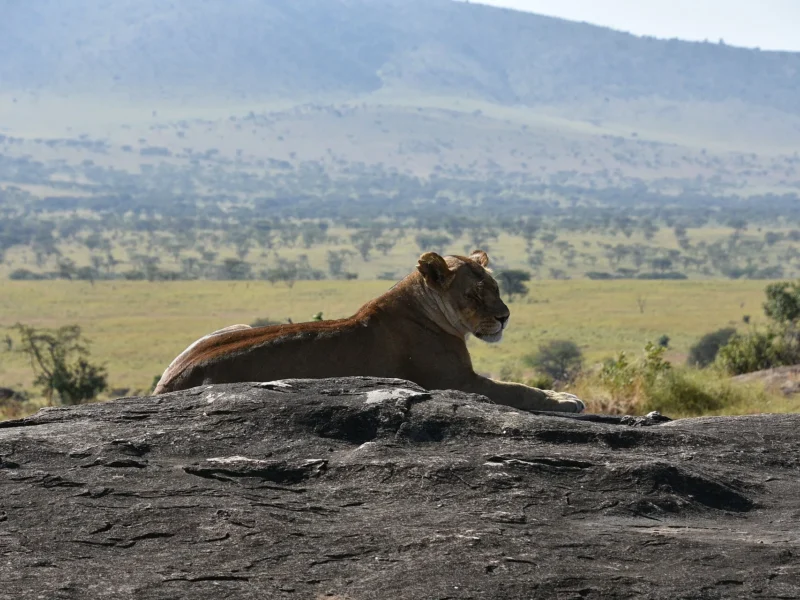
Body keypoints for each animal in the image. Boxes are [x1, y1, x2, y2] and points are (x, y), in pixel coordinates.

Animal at [153, 250, 585, 413]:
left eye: (496, 287)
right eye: (474, 295)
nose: (505, 317)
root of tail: (164, 386)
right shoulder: (457, 381)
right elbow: (520, 390)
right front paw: (566, 399)